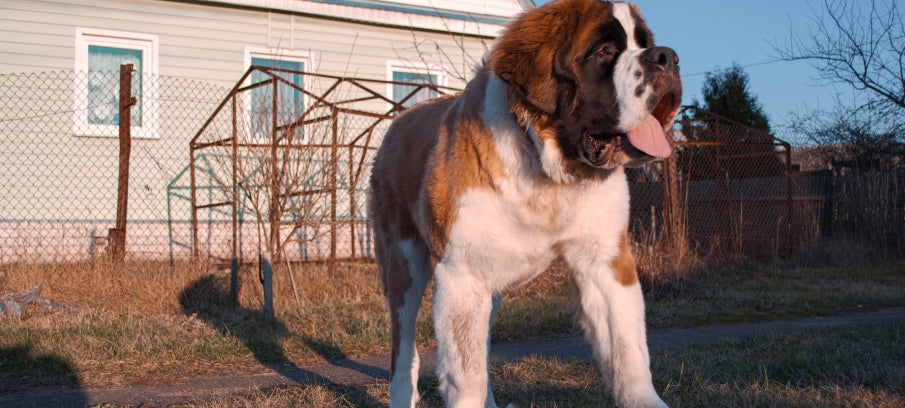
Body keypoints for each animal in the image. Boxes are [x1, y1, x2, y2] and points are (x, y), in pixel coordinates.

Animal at [368, 0, 680, 408]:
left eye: (644, 43)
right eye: (604, 51)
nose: (667, 57)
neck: (547, 167)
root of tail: (400, 119)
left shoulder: (604, 264)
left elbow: (629, 355)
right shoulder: (461, 276)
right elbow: (465, 378)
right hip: (404, 266)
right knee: (405, 351)